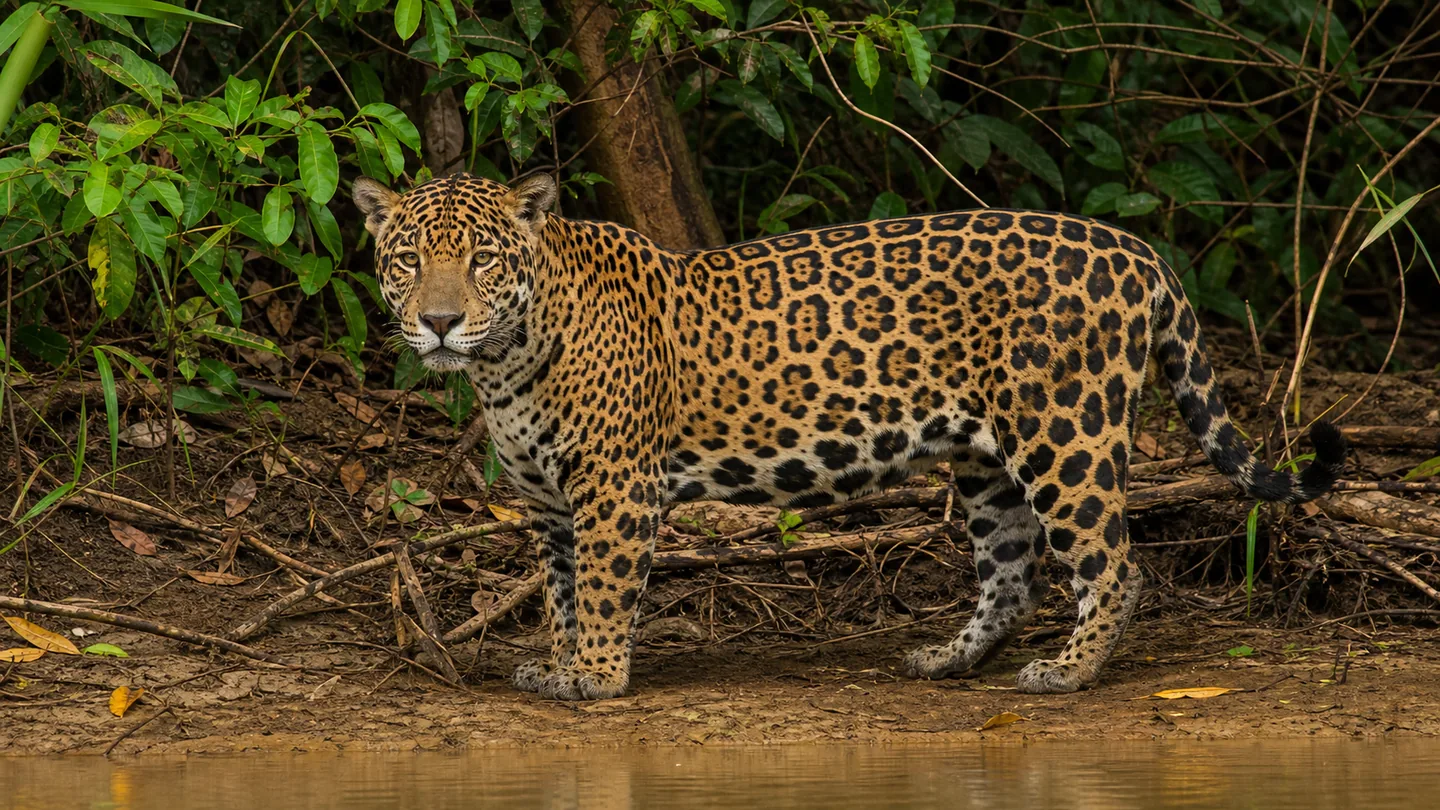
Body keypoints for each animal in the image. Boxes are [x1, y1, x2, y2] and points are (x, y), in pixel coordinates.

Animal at [353, 171, 1346, 700]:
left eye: (483, 260)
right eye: (407, 260)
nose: (439, 322)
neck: (508, 359)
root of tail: (1138, 252)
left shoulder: (614, 487)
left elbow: (600, 591)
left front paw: (596, 677)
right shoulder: (551, 503)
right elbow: (561, 592)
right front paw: (560, 666)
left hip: (1066, 432)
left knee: (1115, 564)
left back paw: (1067, 672)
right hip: (986, 459)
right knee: (1013, 574)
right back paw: (949, 659)